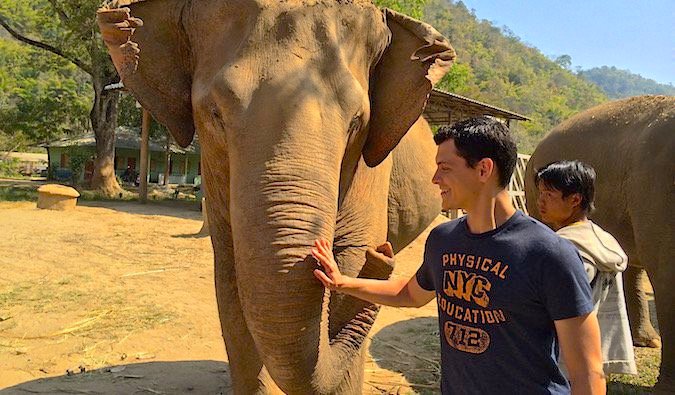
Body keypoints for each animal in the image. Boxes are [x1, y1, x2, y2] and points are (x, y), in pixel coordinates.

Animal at [96, 1, 454, 394]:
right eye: (215, 113)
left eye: (357, 122)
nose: (383, 252)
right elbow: (231, 278)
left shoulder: (371, 169)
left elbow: (351, 262)